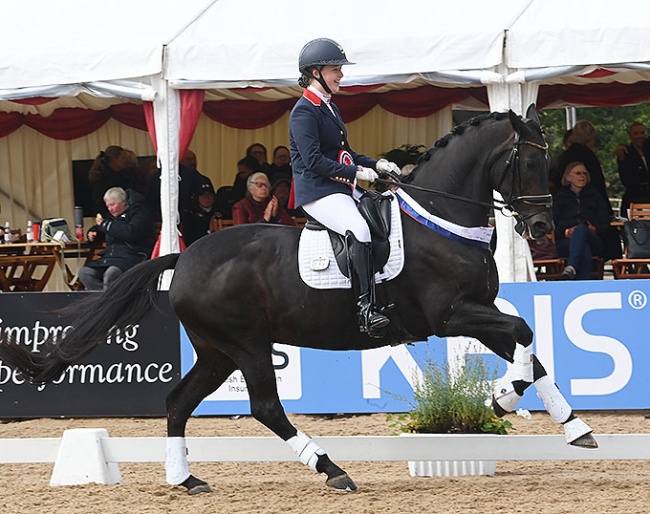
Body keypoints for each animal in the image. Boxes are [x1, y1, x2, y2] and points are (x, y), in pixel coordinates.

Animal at [0, 104, 596, 492]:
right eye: (530, 162)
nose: (543, 227)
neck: (441, 219)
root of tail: (184, 259)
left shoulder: (477, 314)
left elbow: (531, 351)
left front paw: (576, 428)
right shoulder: (451, 316)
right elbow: (523, 336)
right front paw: (501, 400)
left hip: (217, 352)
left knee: (177, 402)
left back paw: (186, 479)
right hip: (245, 345)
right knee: (265, 406)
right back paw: (331, 469)